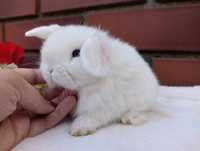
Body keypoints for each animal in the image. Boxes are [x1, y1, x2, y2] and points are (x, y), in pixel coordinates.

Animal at [25, 24, 159, 136]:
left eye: (76, 53)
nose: (50, 70)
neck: (87, 86)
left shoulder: (100, 106)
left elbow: (90, 117)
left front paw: (79, 129)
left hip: (142, 99)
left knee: (142, 110)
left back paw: (130, 118)